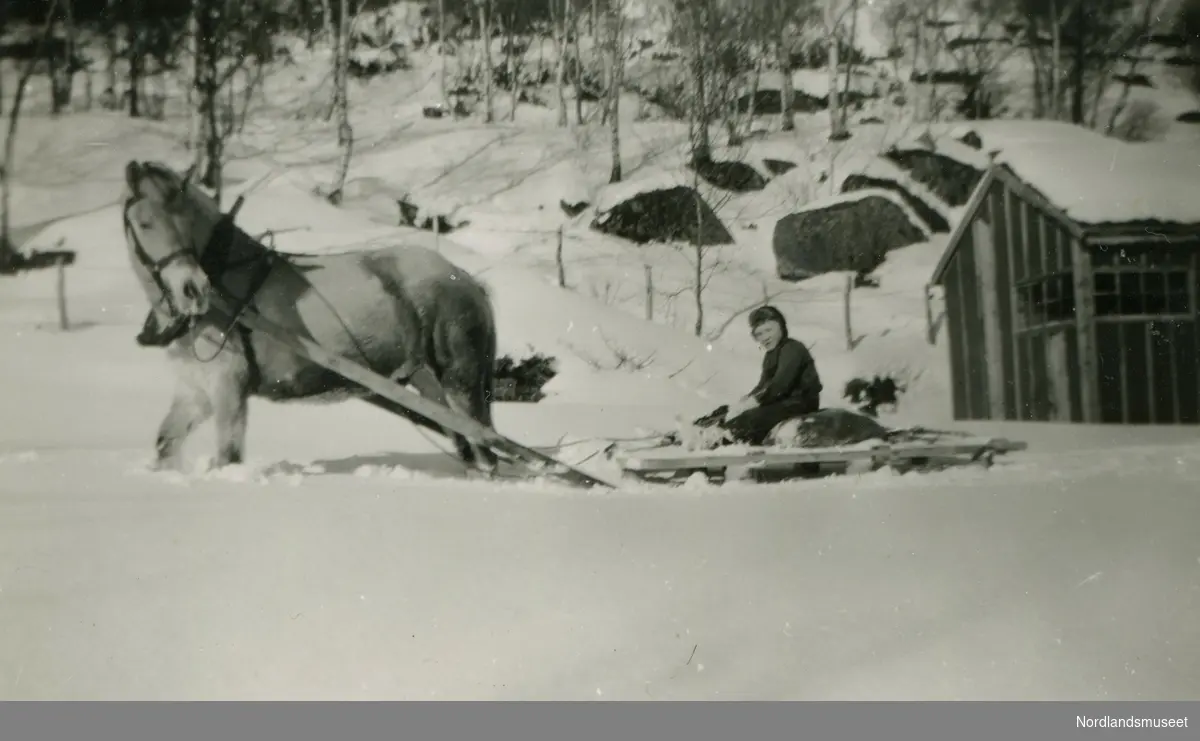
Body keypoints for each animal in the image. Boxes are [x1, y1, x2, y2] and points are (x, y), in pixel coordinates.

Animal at [119, 158, 499, 477]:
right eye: (144, 223)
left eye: (186, 224)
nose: (193, 289)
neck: (225, 288)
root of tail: (466, 279)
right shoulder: (195, 388)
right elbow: (166, 442)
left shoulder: (229, 386)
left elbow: (228, 456)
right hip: (429, 384)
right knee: (467, 446)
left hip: (460, 381)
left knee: (484, 447)